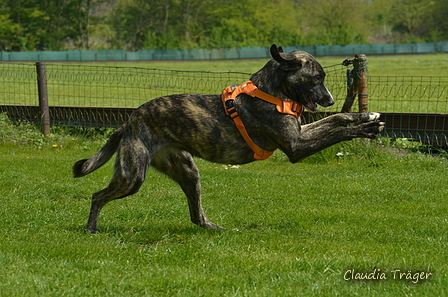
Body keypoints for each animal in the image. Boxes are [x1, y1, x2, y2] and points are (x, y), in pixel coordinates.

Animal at [73, 44, 384, 231]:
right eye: (316, 78)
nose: (329, 99)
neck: (272, 91)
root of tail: (129, 122)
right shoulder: (295, 147)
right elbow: (338, 131)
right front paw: (365, 129)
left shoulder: (299, 134)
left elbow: (337, 120)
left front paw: (365, 117)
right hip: (133, 175)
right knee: (97, 196)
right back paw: (91, 229)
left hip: (187, 171)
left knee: (196, 215)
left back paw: (213, 228)